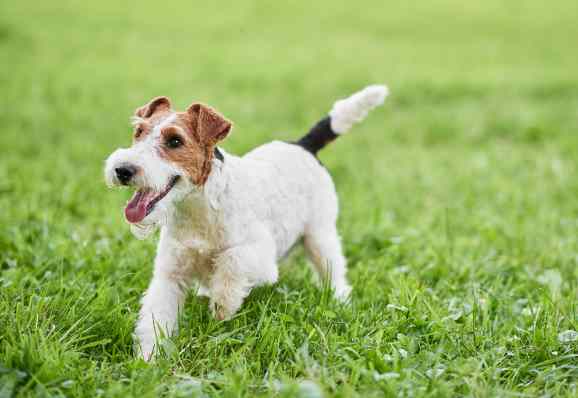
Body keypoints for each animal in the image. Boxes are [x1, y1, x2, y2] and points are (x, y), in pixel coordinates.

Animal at [103, 84, 388, 360]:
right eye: (139, 131)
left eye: (175, 140)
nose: (123, 170)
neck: (198, 206)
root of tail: (303, 145)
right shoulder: (170, 274)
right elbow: (156, 318)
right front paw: (149, 358)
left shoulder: (261, 256)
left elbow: (232, 261)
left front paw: (223, 306)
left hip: (320, 235)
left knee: (334, 271)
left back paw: (340, 300)